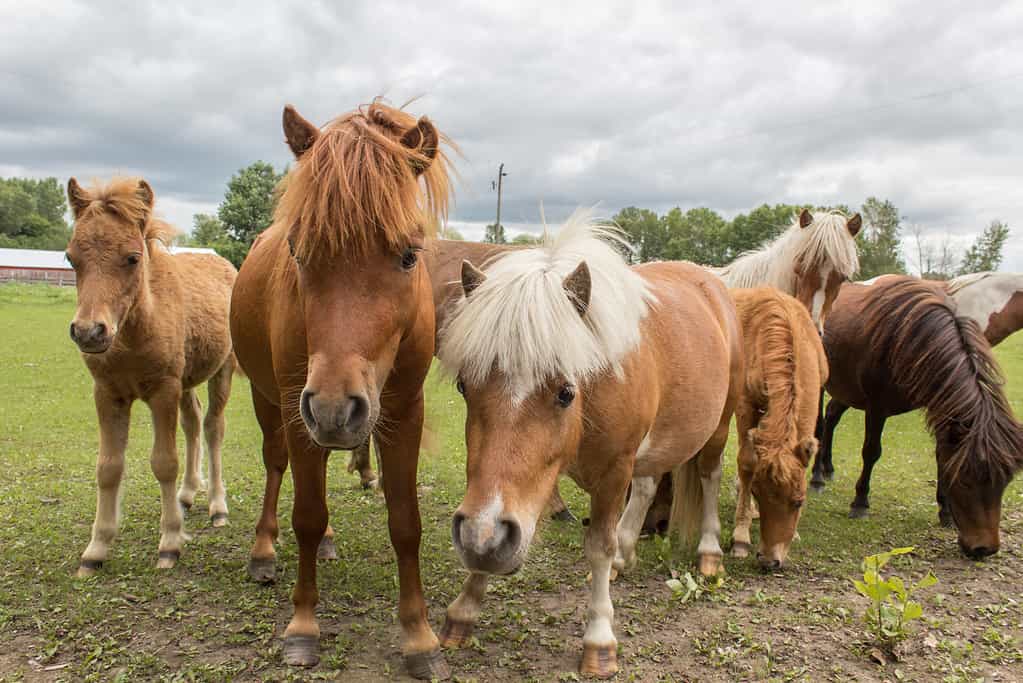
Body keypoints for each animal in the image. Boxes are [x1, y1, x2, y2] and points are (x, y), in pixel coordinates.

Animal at [64, 175, 236, 576]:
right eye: (71, 258)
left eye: (132, 258)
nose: (89, 332)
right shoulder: (107, 393)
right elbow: (108, 467)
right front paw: (96, 549)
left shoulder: (163, 391)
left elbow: (164, 462)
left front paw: (170, 542)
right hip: (187, 381)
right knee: (193, 421)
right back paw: (187, 494)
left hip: (222, 370)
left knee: (213, 427)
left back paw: (217, 506)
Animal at [234, 97, 458, 678]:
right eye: (298, 251)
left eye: (408, 254)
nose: (336, 408)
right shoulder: (299, 411)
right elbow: (307, 516)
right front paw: (302, 627)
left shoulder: (402, 414)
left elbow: (405, 523)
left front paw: (420, 637)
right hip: (272, 403)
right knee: (278, 468)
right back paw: (263, 551)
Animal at [433, 209, 744, 678]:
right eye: (464, 387)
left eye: (566, 393)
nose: (478, 537)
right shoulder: (532, 484)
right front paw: (464, 608)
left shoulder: (614, 471)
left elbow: (598, 545)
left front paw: (599, 640)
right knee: (648, 486)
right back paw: (627, 555)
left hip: (718, 425)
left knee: (709, 475)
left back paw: (709, 553)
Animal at [728, 288, 830, 572]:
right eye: (757, 492)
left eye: (799, 501)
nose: (769, 560)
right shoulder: (745, 404)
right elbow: (747, 462)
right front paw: (740, 538)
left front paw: (794, 533)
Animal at [810, 274, 1018, 556]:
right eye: (966, 481)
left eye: (1005, 482)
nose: (985, 549)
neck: (910, 337)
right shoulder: (876, 406)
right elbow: (871, 452)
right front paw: (860, 502)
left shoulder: (941, 406)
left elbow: (942, 455)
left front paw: (945, 511)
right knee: (820, 425)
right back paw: (817, 477)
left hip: (847, 388)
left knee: (832, 416)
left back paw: (828, 468)